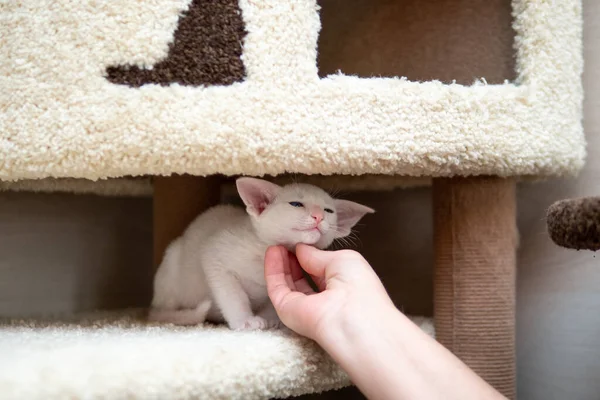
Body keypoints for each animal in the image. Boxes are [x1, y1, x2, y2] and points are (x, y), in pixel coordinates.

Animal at [149, 177, 376, 330]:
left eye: (329, 211)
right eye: (296, 204)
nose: (319, 216)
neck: (261, 252)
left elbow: (271, 303)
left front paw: (272, 320)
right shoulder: (215, 254)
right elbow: (233, 294)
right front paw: (245, 320)